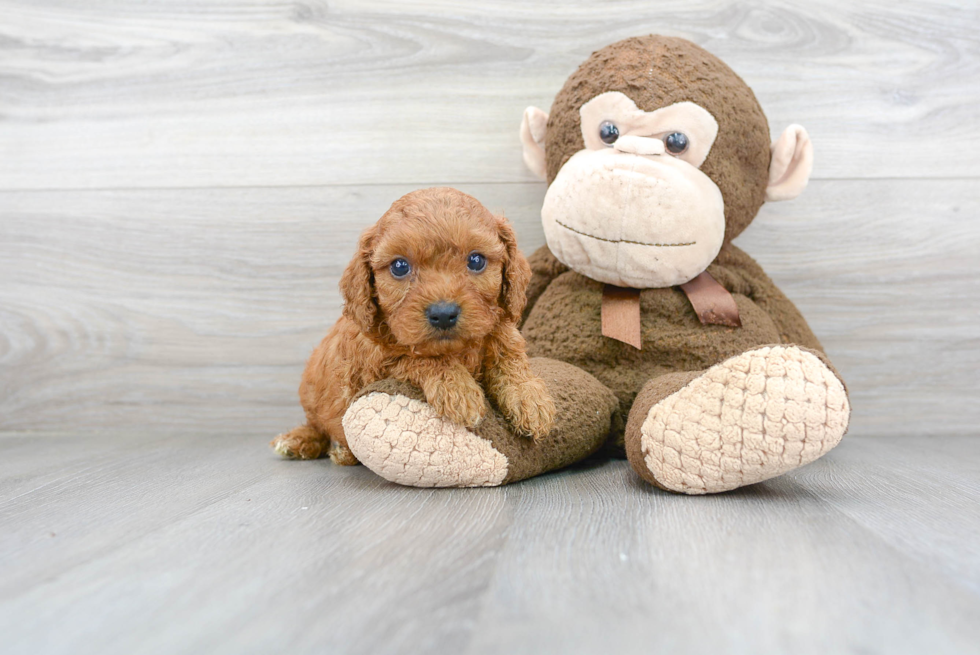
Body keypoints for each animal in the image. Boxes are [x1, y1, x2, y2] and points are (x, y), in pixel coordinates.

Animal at [272, 187, 556, 464]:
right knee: (317, 425)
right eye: (400, 266)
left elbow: (509, 356)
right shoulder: (374, 363)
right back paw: (305, 442)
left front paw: (529, 399)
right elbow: (416, 357)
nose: (443, 313)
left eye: (476, 261)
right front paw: (458, 390)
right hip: (312, 397)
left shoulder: (501, 330)